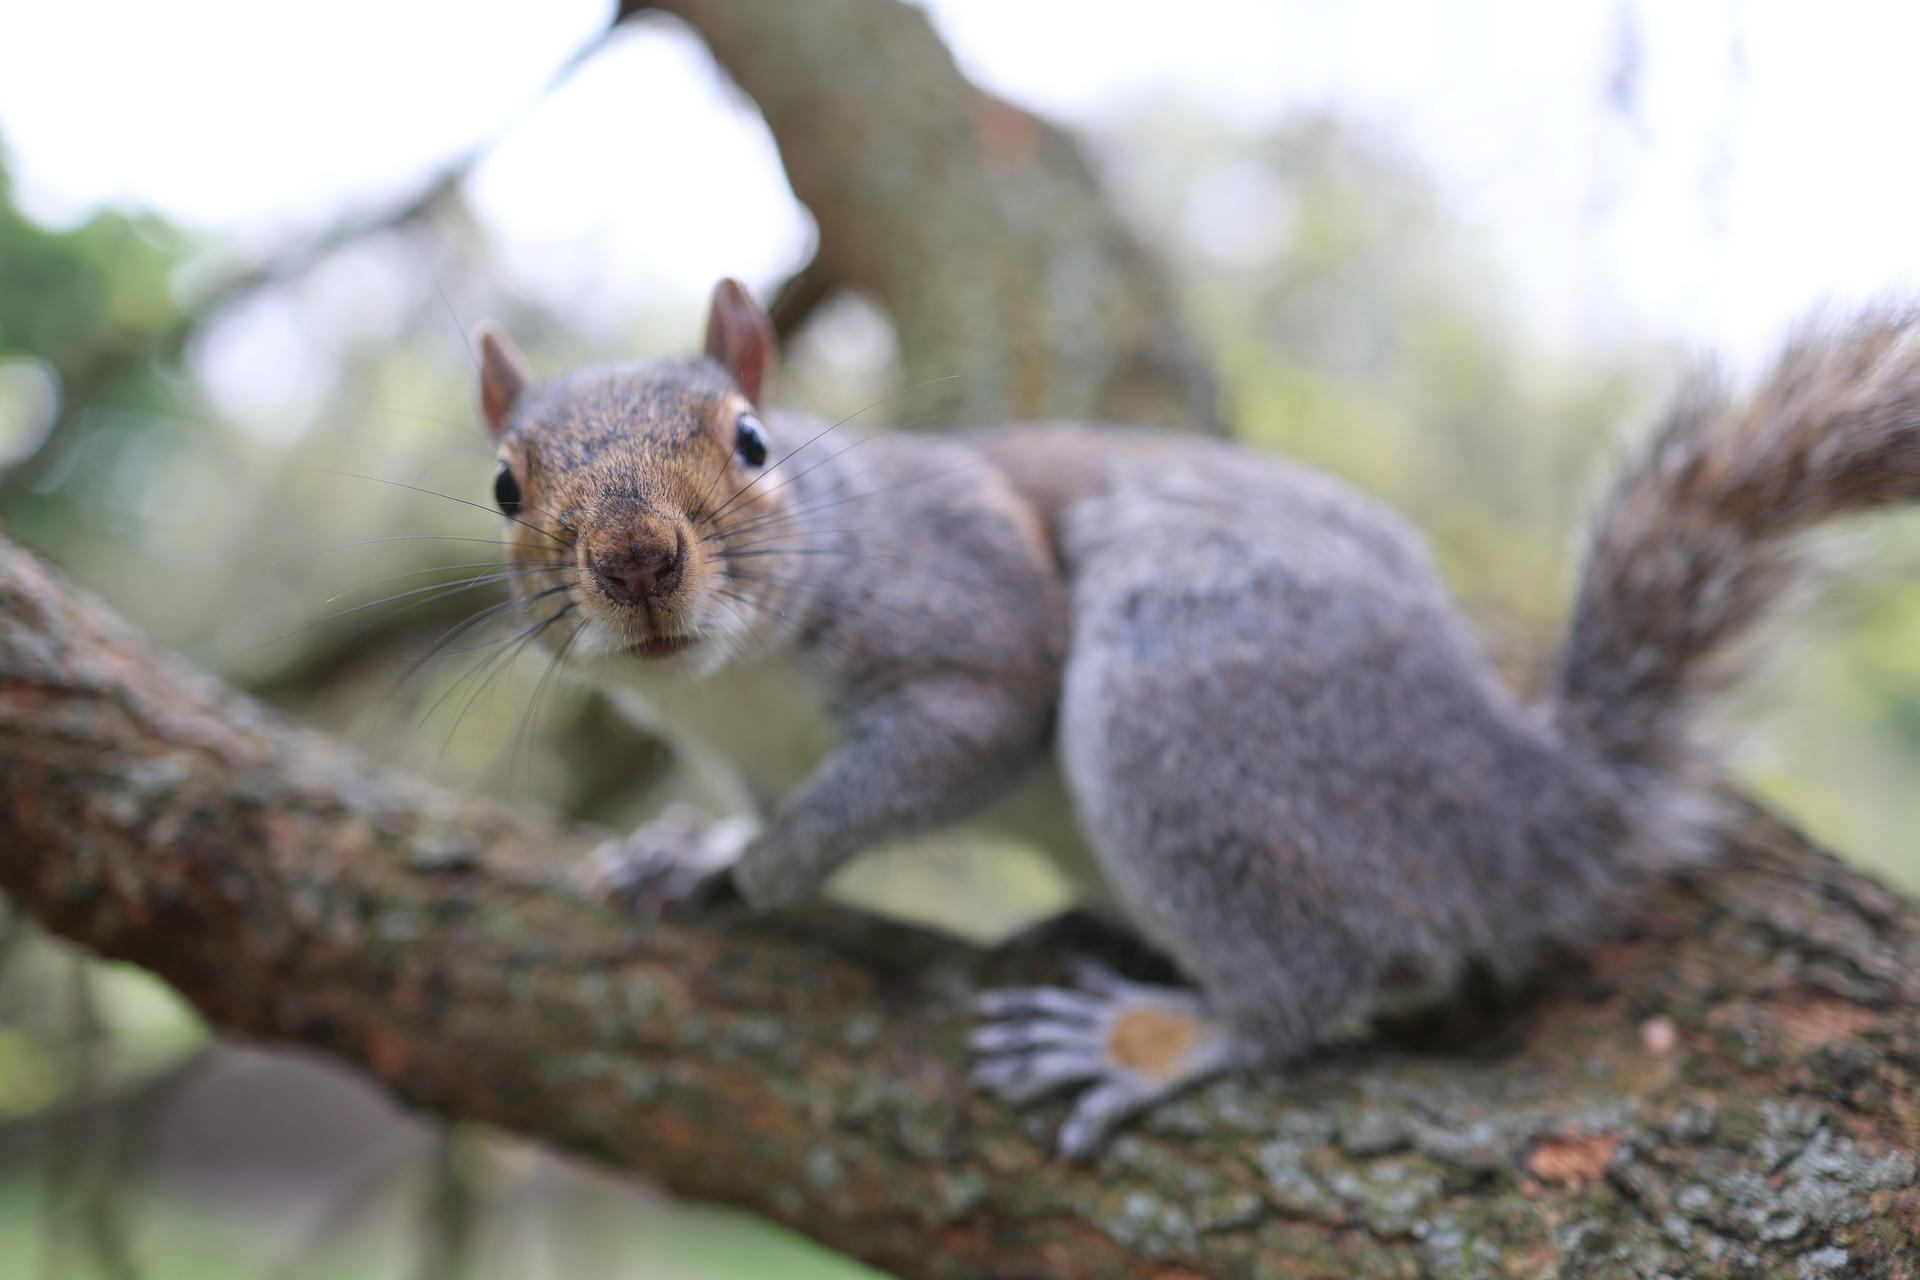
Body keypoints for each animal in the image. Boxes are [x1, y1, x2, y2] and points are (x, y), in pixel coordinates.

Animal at [472, 278, 1920, 1158]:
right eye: (503, 486)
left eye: (753, 441)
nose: (638, 560)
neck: (731, 688)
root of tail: (1515, 805)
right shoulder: (749, 750)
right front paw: (698, 851)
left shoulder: (979, 633)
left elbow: (918, 762)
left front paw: (759, 870)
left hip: (1180, 697)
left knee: (1321, 980)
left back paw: (1158, 1037)